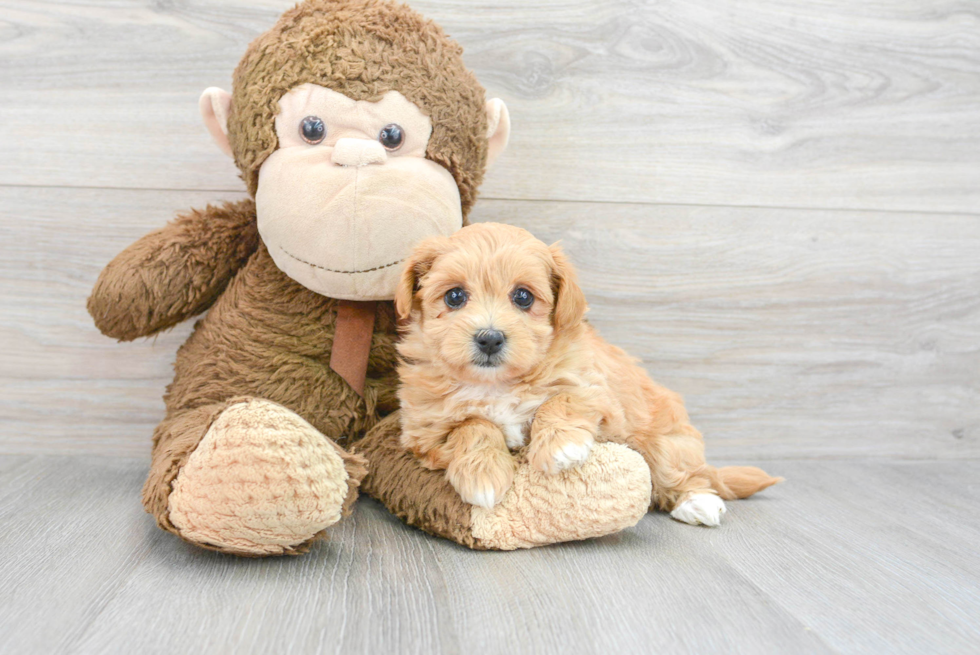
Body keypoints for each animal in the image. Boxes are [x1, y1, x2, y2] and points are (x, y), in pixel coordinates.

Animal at [392, 223, 780, 524]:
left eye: (523, 297)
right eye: (455, 296)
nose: (489, 338)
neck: (497, 385)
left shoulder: (599, 396)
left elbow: (562, 399)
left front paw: (561, 447)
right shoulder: (424, 432)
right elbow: (472, 425)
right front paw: (483, 474)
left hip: (665, 442)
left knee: (685, 473)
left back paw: (698, 502)